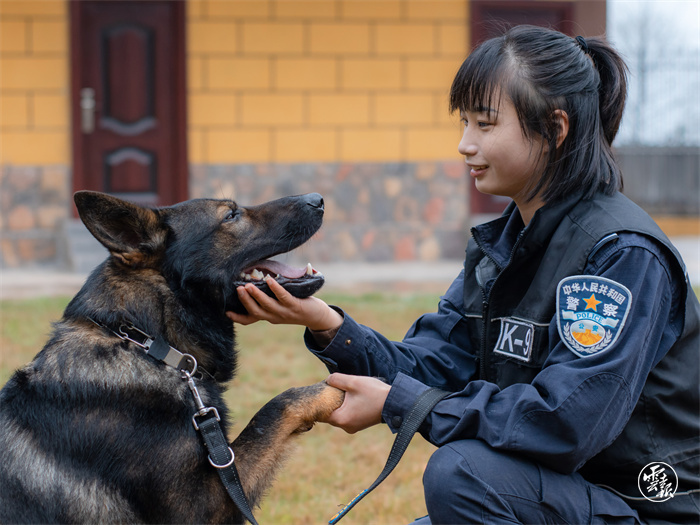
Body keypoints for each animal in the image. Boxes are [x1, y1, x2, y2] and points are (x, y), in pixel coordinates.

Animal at [0, 190, 344, 520]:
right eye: (231, 215)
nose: (318, 199)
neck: (149, 345)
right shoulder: (204, 503)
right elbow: (275, 409)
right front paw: (332, 392)